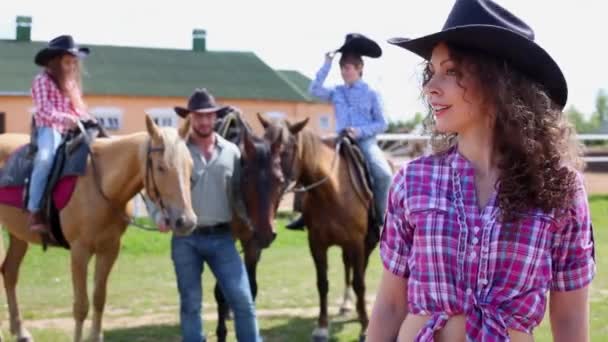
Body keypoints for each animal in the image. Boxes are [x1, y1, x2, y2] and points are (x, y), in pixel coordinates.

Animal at [0, 116, 196, 340]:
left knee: (9, 272)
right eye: (161, 167)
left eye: (190, 166)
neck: (100, 184)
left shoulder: (109, 249)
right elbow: (81, 306)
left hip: (18, 236)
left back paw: (20, 331)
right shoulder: (79, 251)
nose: (186, 221)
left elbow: (99, 298)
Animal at [255, 115, 378, 342]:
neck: (332, 192)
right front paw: (322, 327)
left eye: (285, 150)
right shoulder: (317, 244)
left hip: (367, 242)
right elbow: (322, 283)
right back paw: (347, 305)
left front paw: (365, 327)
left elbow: (360, 283)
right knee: (349, 268)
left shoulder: (357, 242)